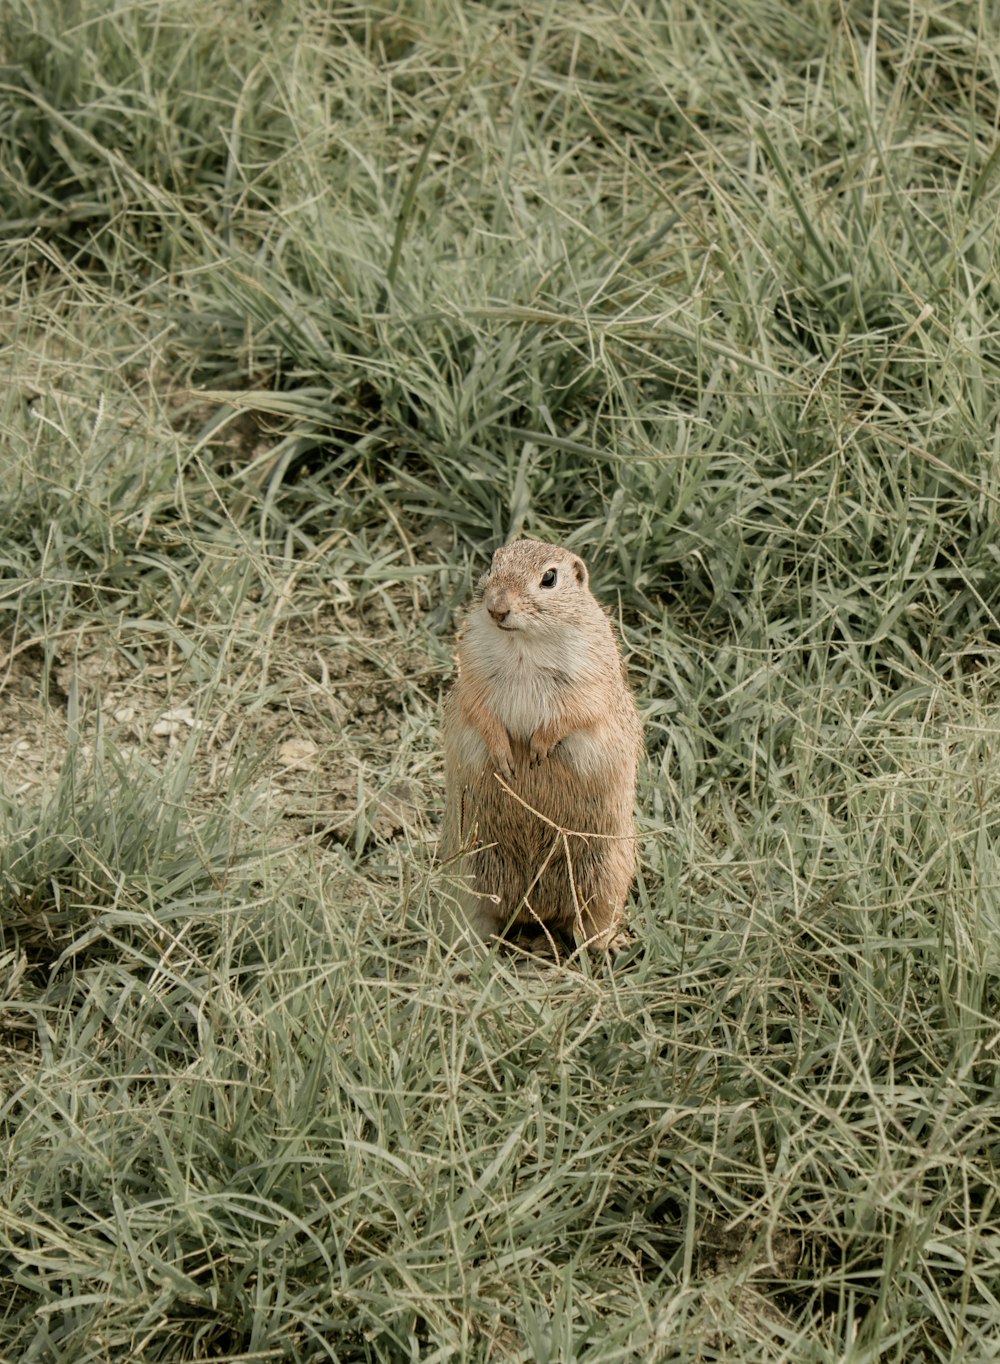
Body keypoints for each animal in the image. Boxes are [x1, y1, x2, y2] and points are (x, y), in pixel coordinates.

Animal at [442, 534, 643, 949]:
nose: (496, 608)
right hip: (467, 875)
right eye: (493, 562)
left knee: (592, 924)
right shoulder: (471, 670)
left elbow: (577, 710)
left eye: (549, 578)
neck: (524, 644)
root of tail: (536, 909)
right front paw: (505, 756)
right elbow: (478, 709)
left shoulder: (591, 677)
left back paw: (610, 946)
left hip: (607, 876)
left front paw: (537, 749)